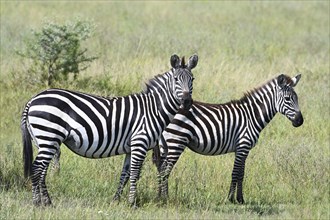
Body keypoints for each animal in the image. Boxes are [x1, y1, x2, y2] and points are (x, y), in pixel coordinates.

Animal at [21, 53, 200, 206]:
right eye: (176, 79)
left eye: (192, 79)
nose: (186, 102)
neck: (153, 109)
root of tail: (32, 100)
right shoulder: (140, 142)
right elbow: (135, 173)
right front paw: (132, 203)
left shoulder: (131, 147)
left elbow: (125, 174)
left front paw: (116, 200)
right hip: (48, 136)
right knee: (37, 168)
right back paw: (37, 203)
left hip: (43, 140)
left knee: (42, 170)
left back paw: (47, 202)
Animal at [155, 74, 304, 205]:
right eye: (287, 99)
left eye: (297, 98)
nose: (300, 121)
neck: (252, 116)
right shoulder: (243, 145)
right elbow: (235, 173)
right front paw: (231, 199)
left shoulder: (243, 149)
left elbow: (241, 174)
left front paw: (241, 199)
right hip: (176, 142)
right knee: (165, 170)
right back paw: (166, 198)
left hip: (165, 145)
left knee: (161, 168)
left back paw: (159, 197)